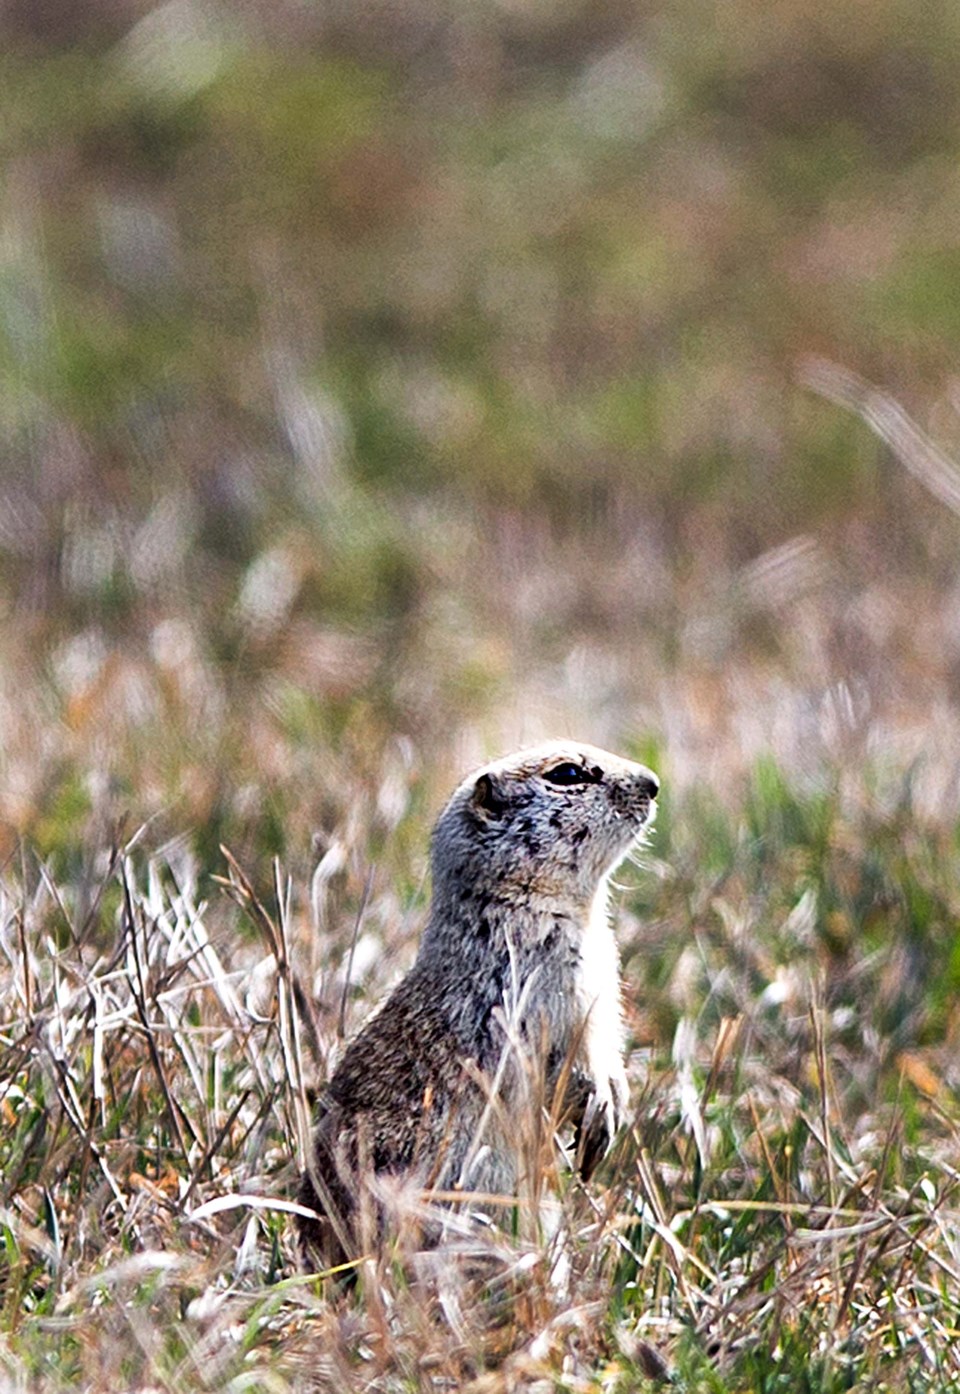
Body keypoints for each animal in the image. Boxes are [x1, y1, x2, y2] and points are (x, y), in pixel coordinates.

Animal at [299, 741, 657, 1276]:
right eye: (567, 774)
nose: (653, 783)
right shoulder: (545, 995)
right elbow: (565, 1066)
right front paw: (599, 1113)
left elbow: (607, 1056)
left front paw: (613, 1105)